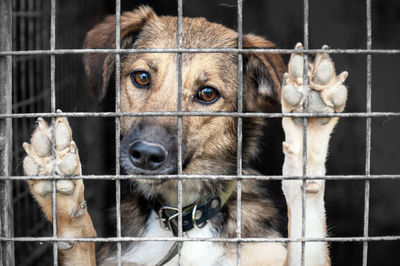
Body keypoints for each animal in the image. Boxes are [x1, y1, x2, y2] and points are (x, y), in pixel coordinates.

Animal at [21, 5, 346, 264]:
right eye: (142, 77)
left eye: (207, 93)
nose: (146, 154)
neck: (184, 220)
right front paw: (61, 192)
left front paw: (308, 129)